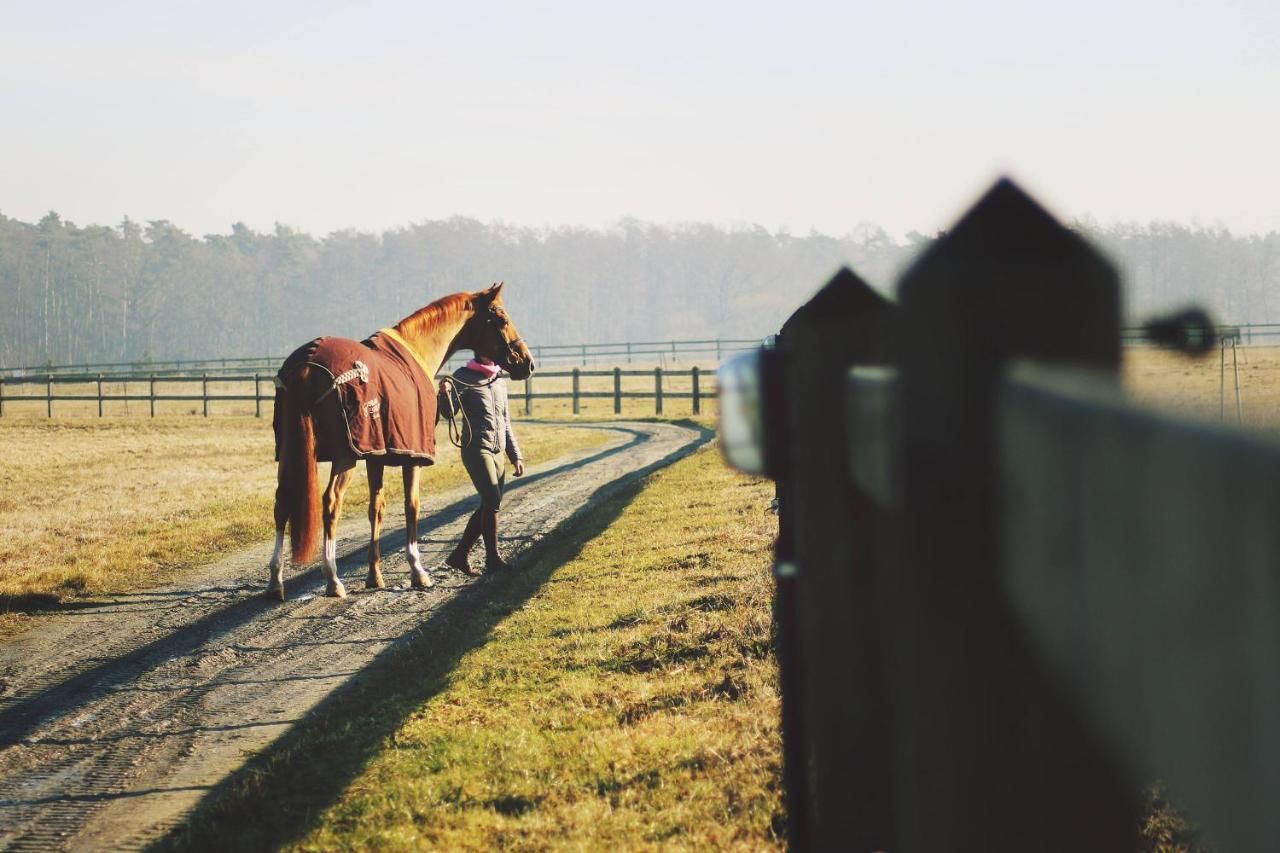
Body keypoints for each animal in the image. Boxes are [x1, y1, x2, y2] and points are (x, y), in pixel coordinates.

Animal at [267, 280, 532, 596]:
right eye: (501, 319)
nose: (527, 363)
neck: (416, 351)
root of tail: (307, 361)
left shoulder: (376, 455)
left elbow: (376, 508)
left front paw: (375, 575)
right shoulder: (413, 457)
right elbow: (412, 507)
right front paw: (418, 572)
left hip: (290, 452)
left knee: (282, 503)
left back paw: (275, 582)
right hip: (344, 457)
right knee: (330, 503)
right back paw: (333, 579)